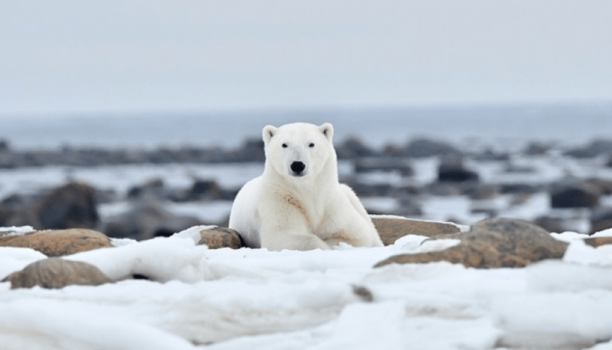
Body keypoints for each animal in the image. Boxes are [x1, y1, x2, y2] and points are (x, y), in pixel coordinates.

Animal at [230, 121, 382, 250]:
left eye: (311, 144)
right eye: (284, 144)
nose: (297, 164)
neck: (308, 192)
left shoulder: (330, 205)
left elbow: (359, 235)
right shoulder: (280, 200)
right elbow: (282, 236)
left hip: (348, 194)